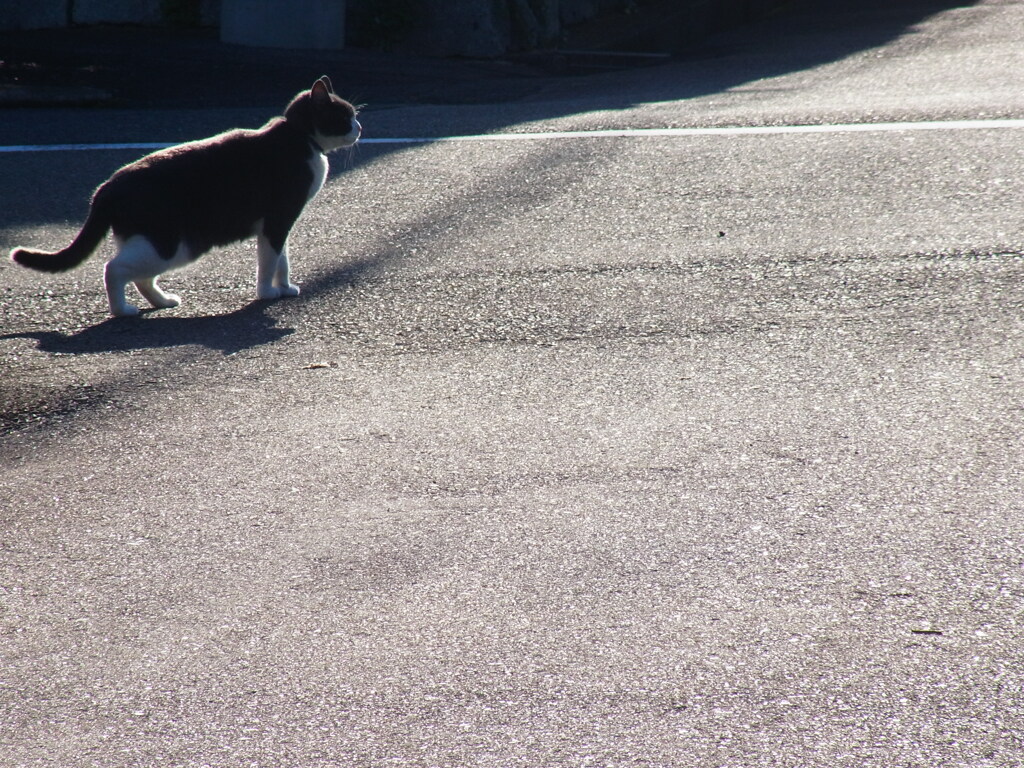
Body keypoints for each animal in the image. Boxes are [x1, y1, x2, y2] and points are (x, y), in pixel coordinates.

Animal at [8, 76, 358, 317]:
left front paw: (284, 288)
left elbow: (282, 260)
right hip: (171, 244)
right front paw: (265, 294)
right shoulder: (278, 218)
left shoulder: (278, 225)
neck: (301, 138)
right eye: (345, 116)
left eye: (354, 115)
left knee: (140, 276)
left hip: (156, 242)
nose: (360, 128)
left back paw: (162, 301)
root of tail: (106, 188)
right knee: (113, 268)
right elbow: (270, 261)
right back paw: (123, 311)